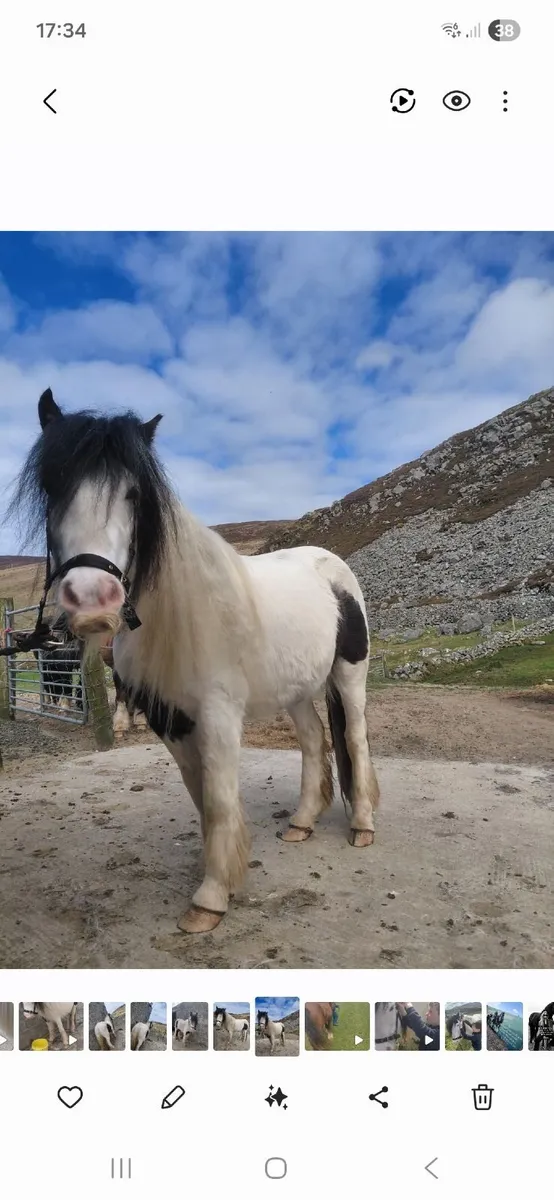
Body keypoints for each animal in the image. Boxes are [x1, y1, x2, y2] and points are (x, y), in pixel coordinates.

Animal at [10, 389, 380, 935]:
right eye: (50, 483)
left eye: (134, 495)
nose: (93, 599)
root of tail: (333, 568)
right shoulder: (169, 717)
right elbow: (199, 795)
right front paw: (216, 869)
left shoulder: (218, 715)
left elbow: (221, 797)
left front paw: (211, 898)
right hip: (296, 690)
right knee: (315, 741)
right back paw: (302, 822)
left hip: (349, 675)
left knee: (353, 737)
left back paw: (362, 826)